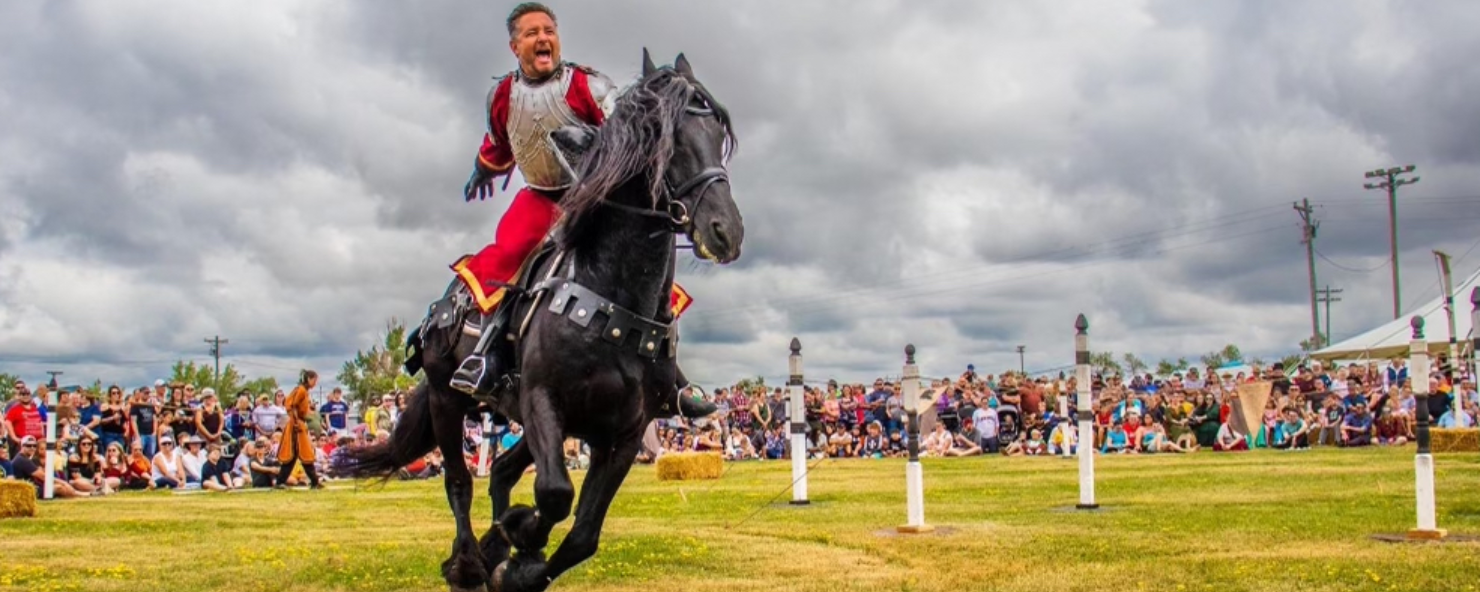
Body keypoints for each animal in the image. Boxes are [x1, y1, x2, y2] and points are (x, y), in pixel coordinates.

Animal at [343, 50, 742, 592]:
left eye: (717, 134)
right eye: (666, 137)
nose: (726, 231)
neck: (613, 297)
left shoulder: (623, 432)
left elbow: (582, 534)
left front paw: (518, 560)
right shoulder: (542, 401)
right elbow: (554, 494)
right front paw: (517, 540)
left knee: (503, 472)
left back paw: (493, 545)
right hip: (450, 399)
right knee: (460, 480)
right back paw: (468, 561)